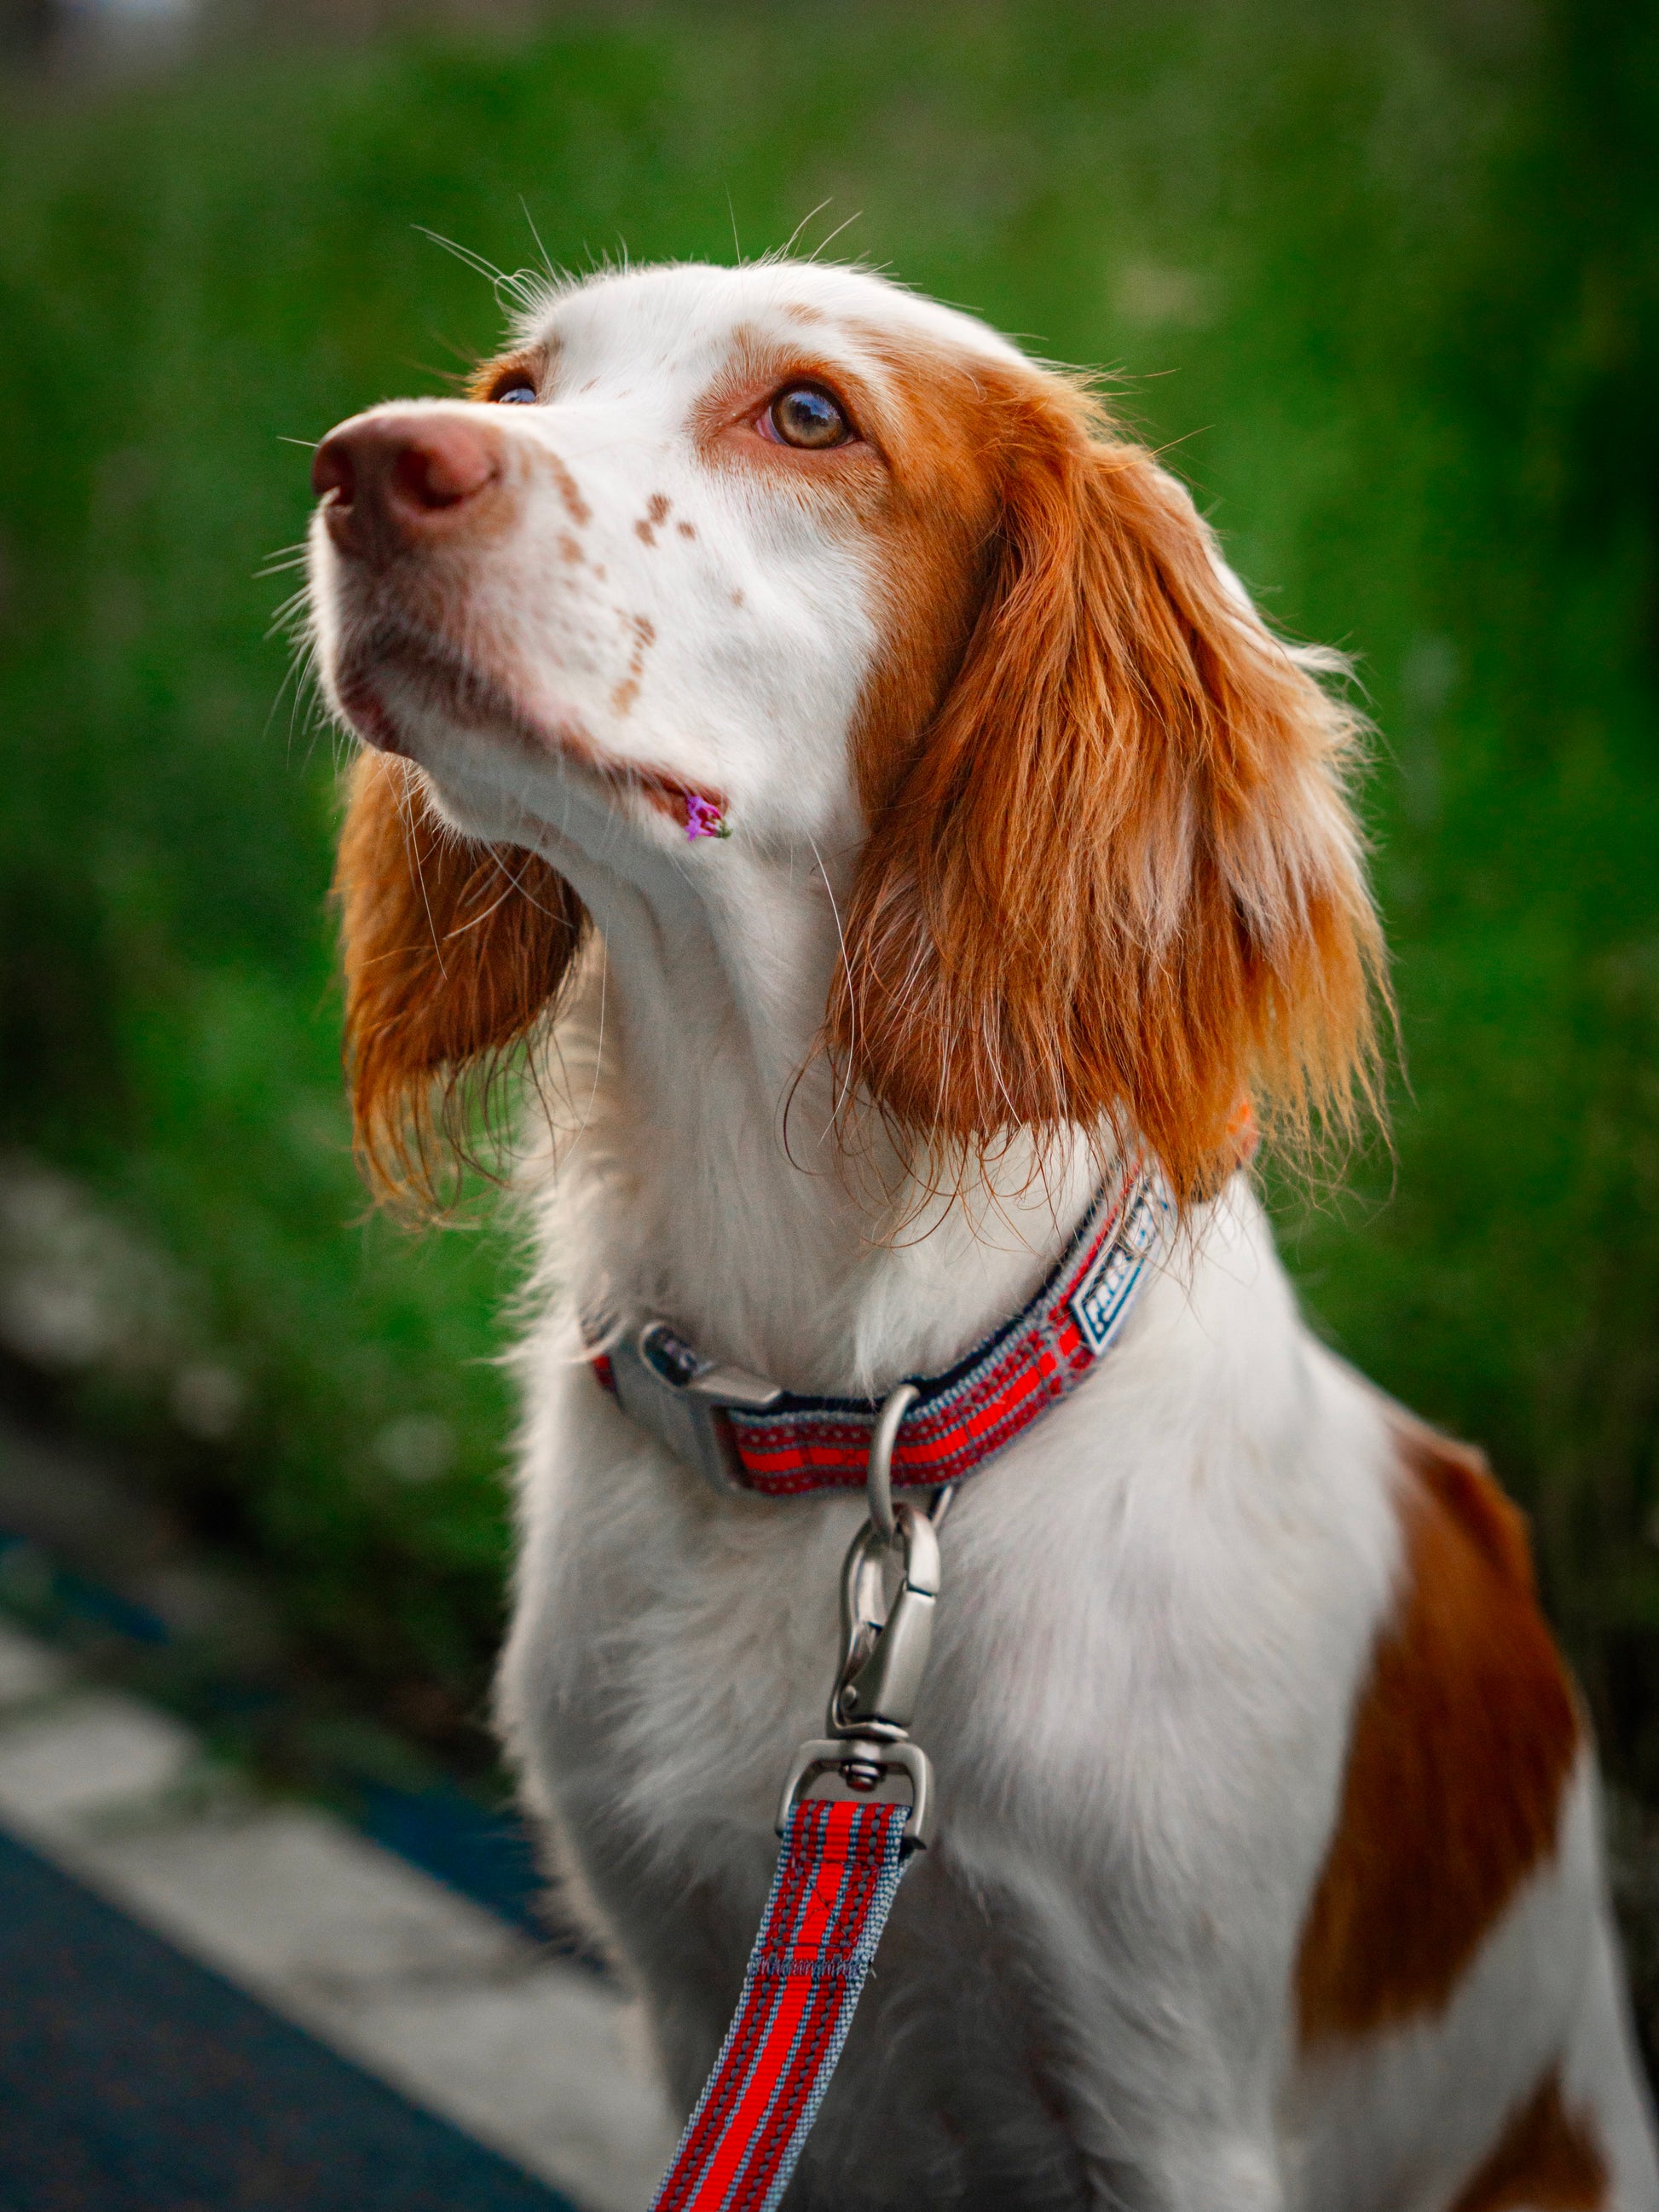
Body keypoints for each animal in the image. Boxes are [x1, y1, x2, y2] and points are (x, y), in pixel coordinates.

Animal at [305, 254, 1654, 2194]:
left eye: (809, 414)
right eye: (520, 384)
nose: (361, 463)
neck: (846, 1408)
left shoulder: (1168, 2104)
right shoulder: (691, 1999)